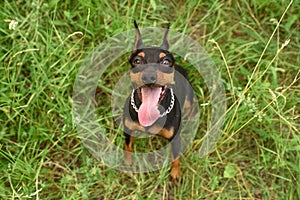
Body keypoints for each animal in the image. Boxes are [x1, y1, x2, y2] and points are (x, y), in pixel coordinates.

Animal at [123, 20, 193, 180]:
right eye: (137, 60)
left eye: (166, 62)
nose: (149, 76)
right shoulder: (127, 129)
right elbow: (127, 146)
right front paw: (128, 163)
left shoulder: (175, 138)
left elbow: (175, 157)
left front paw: (175, 174)